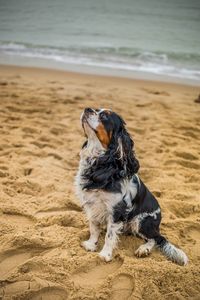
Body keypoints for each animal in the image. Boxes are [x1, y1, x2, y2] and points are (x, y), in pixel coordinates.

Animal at [74, 107, 188, 264]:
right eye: (96, 110)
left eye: (104, 116)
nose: (87, 109)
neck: (101, 164)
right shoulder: (92, 204)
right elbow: (94, 227)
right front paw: (91, 244)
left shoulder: (117, 209)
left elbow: (109, 235)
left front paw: (105, 254)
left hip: (141, 221)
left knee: (156, 238)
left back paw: (143, 249)